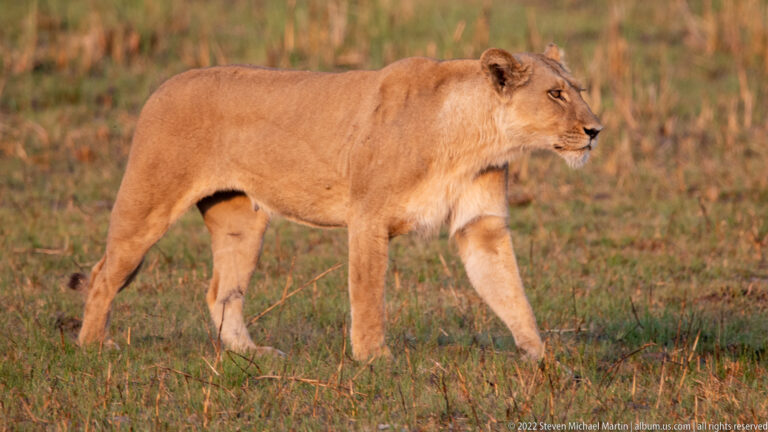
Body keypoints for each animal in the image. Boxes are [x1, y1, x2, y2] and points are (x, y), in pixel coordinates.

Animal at [71, 44, 601, 361]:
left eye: (578, 91)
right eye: (555, 94)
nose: (596, 130)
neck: (476, 138)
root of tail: (164, 84)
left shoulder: (481, 225)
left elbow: (510, 291)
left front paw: (541, 358)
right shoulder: (368, 217)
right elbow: (367, 295)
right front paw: (373, 359)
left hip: (243, 221)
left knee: (221, 291)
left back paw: (252, 355)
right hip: (147, 204)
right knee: (103, 275)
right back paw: (92, 347)